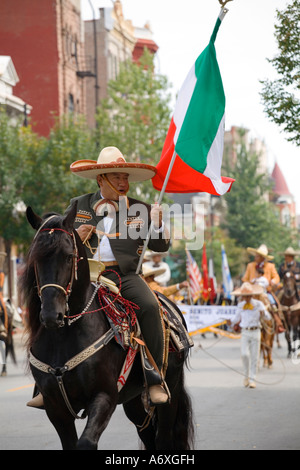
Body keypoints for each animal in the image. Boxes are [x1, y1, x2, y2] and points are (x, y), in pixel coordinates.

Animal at [20, 203, 195, 452]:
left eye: (69, 256)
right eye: (35, 258)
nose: (52, 315)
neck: (65, 336)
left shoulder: (104, 396)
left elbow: (86, 442)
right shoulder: (55, 407)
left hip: (170, 387)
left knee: (163, 438)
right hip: (133, 399)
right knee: (148, 435)